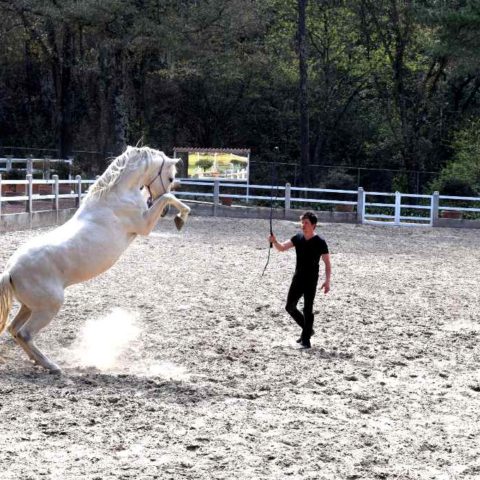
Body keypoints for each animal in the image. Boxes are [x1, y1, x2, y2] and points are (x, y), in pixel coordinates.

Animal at [0, 146, 190, 376]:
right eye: (171, 177)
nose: (166, 215)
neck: (117, 196)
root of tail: (10, 271)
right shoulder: (144, 225)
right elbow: (169, 197)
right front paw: (181, 218)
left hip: (29, 307)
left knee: (13, 329)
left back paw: (37, 361)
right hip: (49, 306)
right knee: (25, 333)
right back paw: (52, 366)